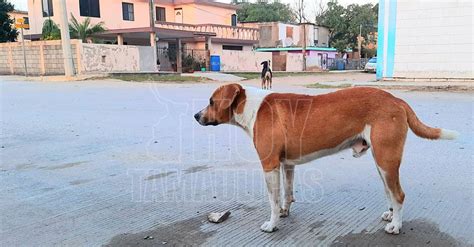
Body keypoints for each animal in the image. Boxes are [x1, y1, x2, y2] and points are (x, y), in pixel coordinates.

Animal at [193, 83, 460, 233]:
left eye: (211, 101)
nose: (196, 116)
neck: (251, 107)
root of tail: (396, 99)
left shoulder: (269, 166)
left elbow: (272, 200)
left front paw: (272, 224)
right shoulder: (286, 165)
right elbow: (287, 194)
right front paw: (284, 212)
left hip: (386, 159)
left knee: (399, 194)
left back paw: (395, 225)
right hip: (383, 161)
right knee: (390, 191)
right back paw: (390, 214)